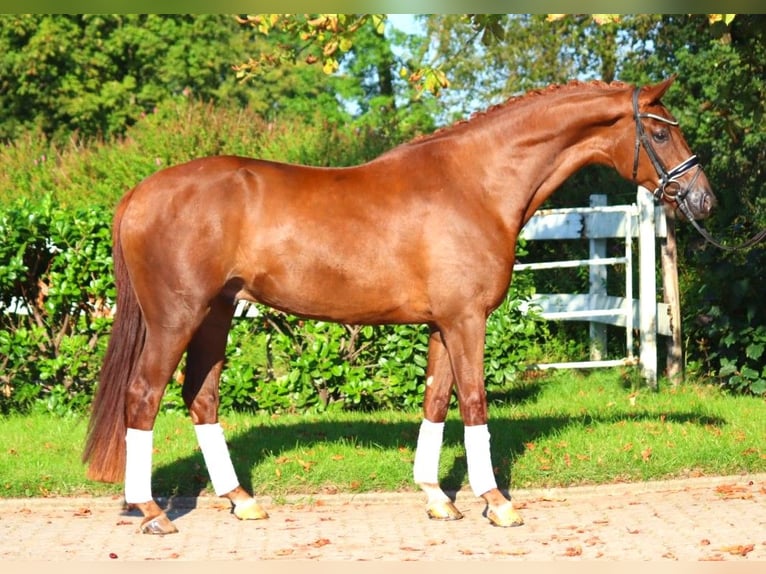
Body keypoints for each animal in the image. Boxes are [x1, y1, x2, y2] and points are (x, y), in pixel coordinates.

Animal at [81, 76, 716, 536]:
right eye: (662, 135)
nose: (704, 200)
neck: (475, 184)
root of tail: (140, 193)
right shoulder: (467, 321)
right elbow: (475, 402)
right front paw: (497, 503)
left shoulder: (442, 323)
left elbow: (436, 399)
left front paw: (437, 497)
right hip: (176, 318)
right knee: (144, 396)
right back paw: (153, 512)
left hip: (216, 315)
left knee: (201, 396)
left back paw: (241, 500)